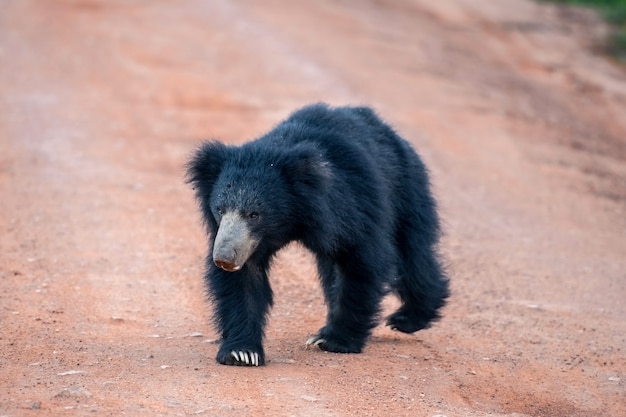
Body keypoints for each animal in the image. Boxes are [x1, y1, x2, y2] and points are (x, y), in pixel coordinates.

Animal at [185, 102, 448, 366]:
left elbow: (361, 262)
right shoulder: (249, 242)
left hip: (405, 188)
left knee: (412, 252)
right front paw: (242, 352)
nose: (224, 259)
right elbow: (244, 279)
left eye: (254, 214)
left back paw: (407, 318)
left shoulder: (350, 206)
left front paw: (334, 340)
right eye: (220, 210)